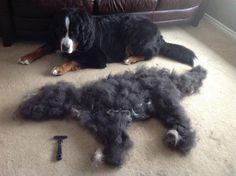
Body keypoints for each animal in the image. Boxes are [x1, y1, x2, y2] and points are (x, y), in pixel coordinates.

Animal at [18, 8, 199, 75]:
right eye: (62, 31)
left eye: (75, 33)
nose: (65, 47)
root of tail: (159, 35)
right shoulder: (57, 40)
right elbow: (42, 47)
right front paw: (26, 57)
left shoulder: (98, 59)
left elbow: (74, 60)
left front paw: (59, 68)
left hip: (133, 36)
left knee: (149, 54)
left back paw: (130, 59)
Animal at [18, 66, 206, 166]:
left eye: (43, 97)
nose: (21, 108)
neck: (82, 100)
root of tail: (169, 78)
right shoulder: (108, 122)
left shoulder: (113, 119)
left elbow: (119, 141)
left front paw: (110, 157)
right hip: (163, 107)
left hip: (166, 101)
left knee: (183, 123)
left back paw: (178, 139)